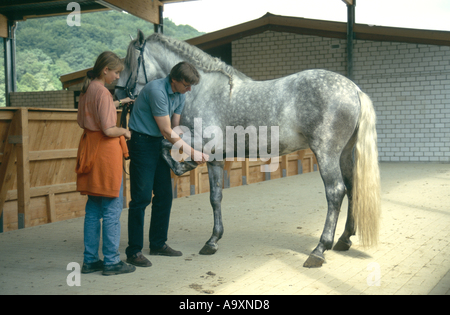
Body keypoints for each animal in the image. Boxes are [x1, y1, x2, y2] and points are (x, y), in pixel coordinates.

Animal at [116, 31, 380, 270]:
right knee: (352, 187)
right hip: (344, 154)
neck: (204, 91)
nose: (118, 93)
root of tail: (354, 89)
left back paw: (319, 250)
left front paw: (183, 166)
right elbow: (215, 197)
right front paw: (213, 241)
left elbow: (164, 145)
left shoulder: (203, 142)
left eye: (129, 62)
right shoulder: (216, 158)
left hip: (326, 154)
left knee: (335, 192)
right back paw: (344, 239)